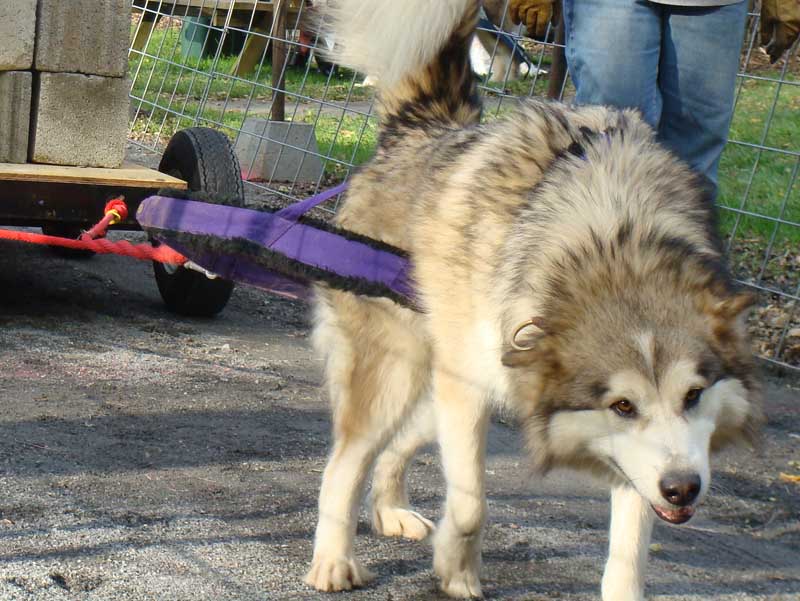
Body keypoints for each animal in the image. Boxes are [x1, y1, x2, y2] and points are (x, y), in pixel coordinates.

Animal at [304, 2, 764, 596]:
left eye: (694, 395)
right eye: (623, 404)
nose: (683, 489)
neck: (611, 235)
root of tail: (427, 126)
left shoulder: (634, 458)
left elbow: (631, 546)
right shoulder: (469, 393)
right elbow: (471, 504)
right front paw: (456, 569)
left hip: (444, 389)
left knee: (397, 444)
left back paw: (390, 512)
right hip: (401, 374)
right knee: (345, 463)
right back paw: (333, 562)